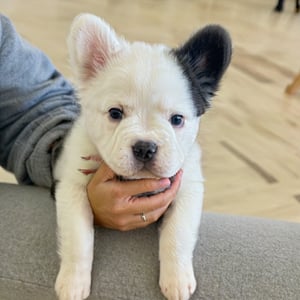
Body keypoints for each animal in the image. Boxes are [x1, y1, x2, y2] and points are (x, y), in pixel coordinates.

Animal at [54, 14, 232, 300]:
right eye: (115, 113)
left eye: (177, 119)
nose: (145, 147)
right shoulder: (72, 186)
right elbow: (78, 237)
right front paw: (73, 282)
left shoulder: (188, 187)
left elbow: (178, 233)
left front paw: (177, 278)